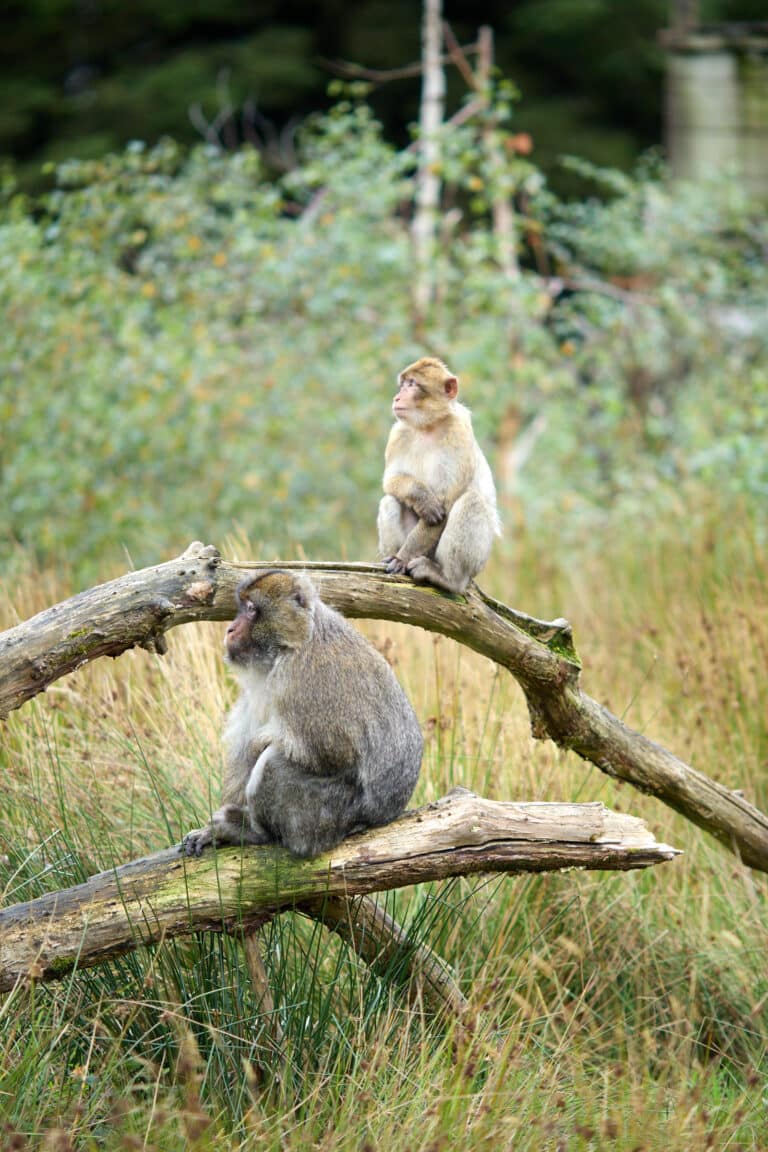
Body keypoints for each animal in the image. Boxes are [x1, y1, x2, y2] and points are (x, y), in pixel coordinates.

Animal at [182, 570, 423, 860]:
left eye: (251, 609)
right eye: (243, 607)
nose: (230, 629)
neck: (290, 647)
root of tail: (382, 817)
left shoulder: (305, 678)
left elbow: (332, 752)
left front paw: (261, 742)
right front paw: (208, 833)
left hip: (331, 814)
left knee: (274, 763)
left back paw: (255, 832)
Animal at [377, 356, 500, 594]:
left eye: (412, 384)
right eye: (403, 384)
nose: (397, 397)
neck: (428, 426)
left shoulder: (459, 432)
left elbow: (447, 502)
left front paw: (403, 557)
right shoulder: (397, 434)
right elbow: (390, 480)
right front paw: (421, 497)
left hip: (478, 561)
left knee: (471, 501)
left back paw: (447, 578)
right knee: (390, 500)